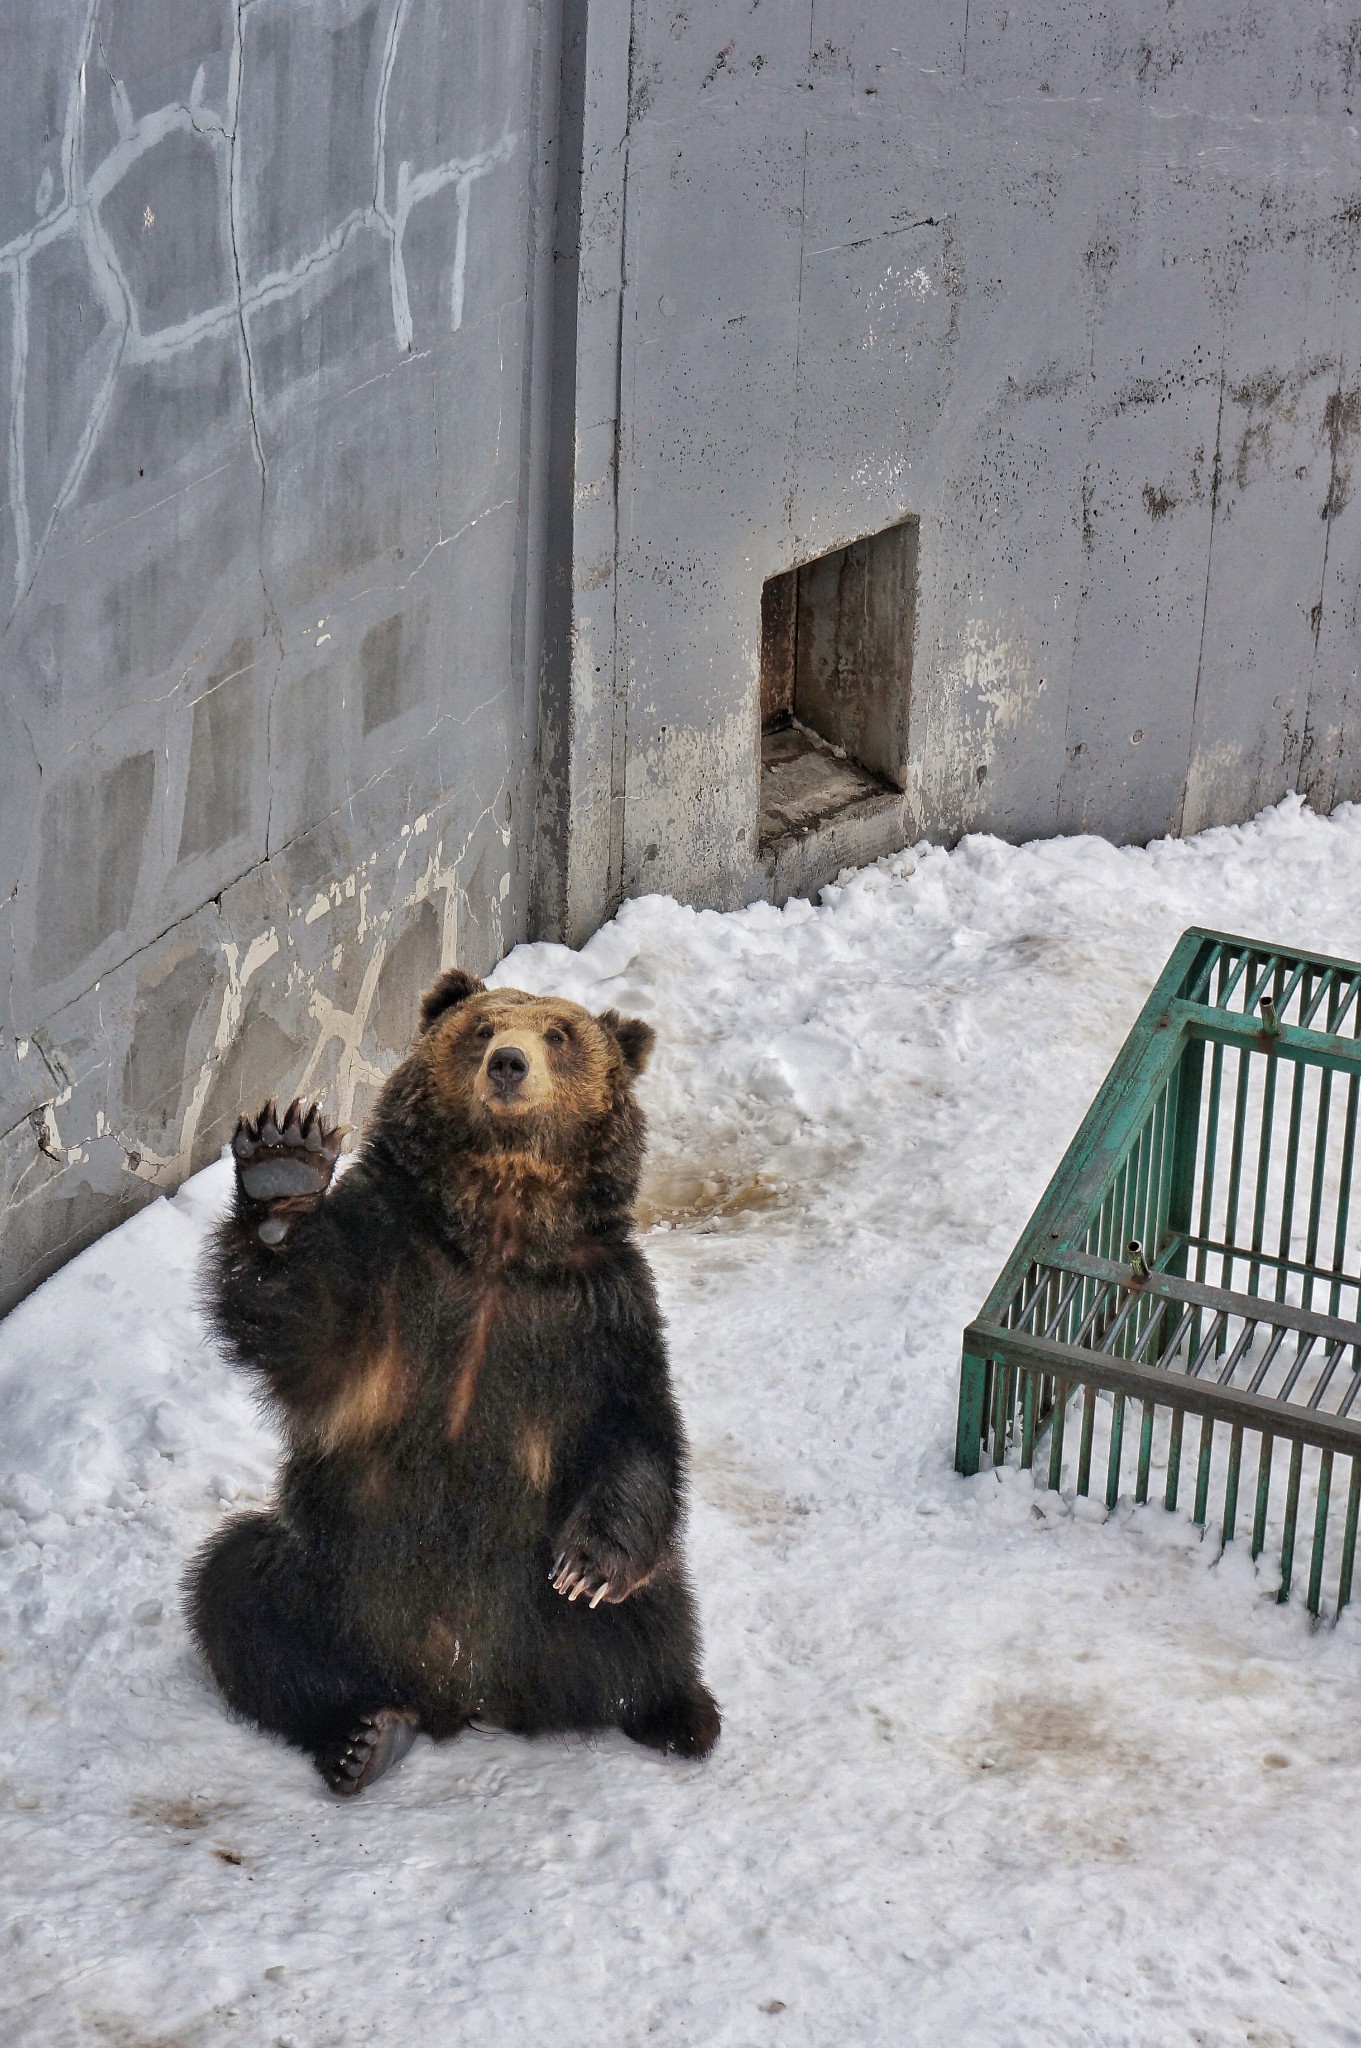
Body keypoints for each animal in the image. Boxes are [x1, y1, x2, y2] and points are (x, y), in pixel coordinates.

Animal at [192, 970, 728, 1794]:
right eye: (482, 1027)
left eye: (559, 1035)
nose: (508, 1063)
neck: (498, 1233)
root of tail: (465, 1696)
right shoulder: (390, 1274)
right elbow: (303, 1325)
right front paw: (283, 1174)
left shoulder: (598, 1312)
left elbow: (632, 1430)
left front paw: (586, 1567)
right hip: (336, 1583)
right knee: (243, 1598)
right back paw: (360, 1738)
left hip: (538, 1612)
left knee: (654, 1616)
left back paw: (679, 1713)